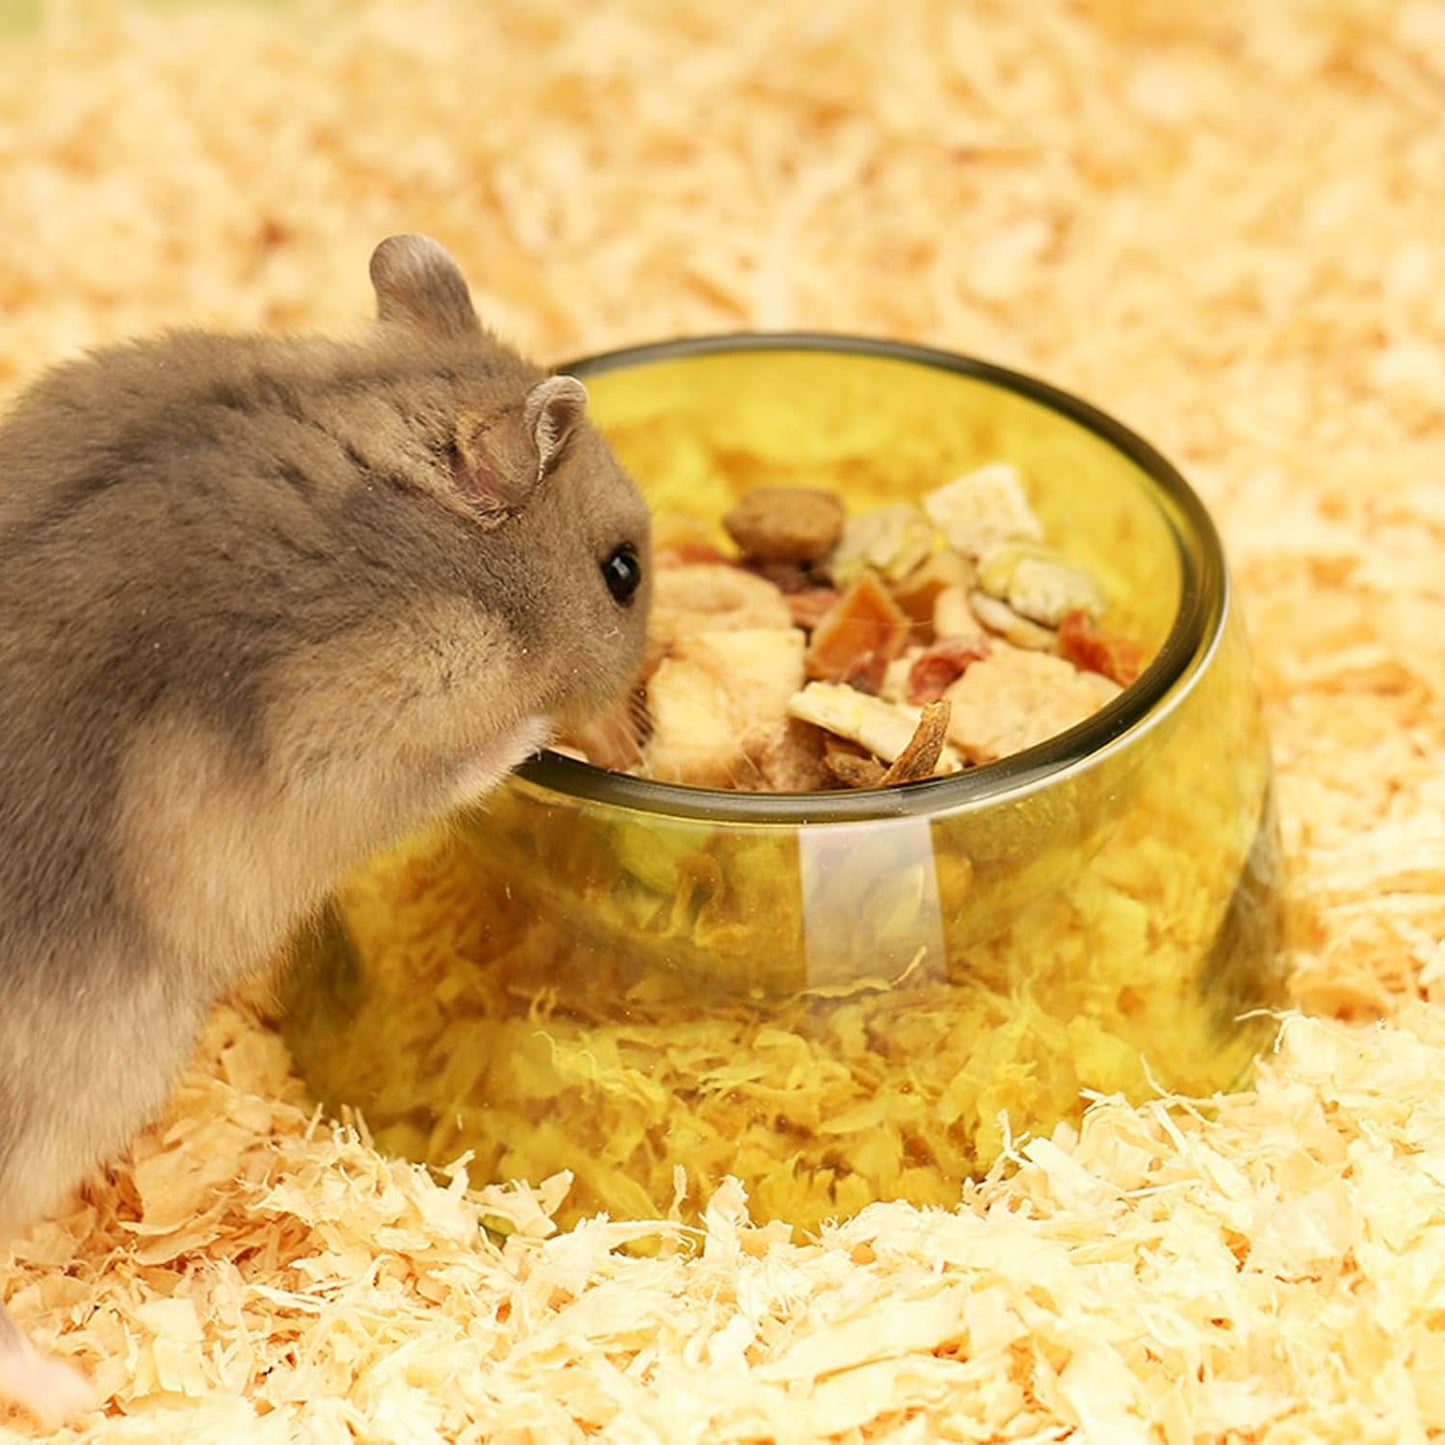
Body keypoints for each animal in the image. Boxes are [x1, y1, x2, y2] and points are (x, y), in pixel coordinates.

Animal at [0, 234, 652, 1425]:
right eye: (620, 572)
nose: (638, 730)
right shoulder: (369, 711)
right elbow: (464, 760)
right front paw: (537, 732)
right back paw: (69, 1390)